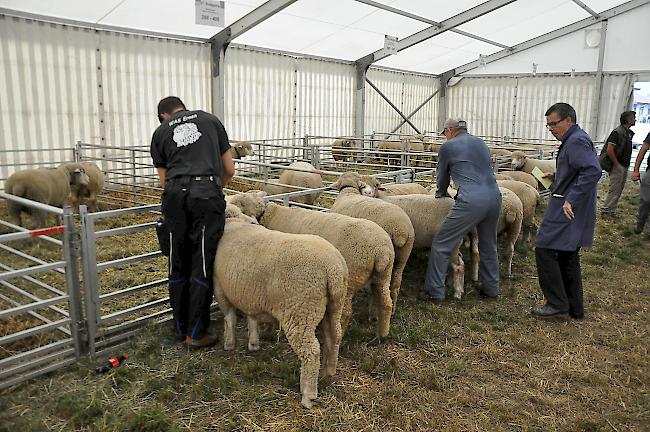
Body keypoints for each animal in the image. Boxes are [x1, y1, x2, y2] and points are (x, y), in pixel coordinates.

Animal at [213, 213, 346, 408]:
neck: (234, 224)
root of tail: (332, 268)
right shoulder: (249, 293)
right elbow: (251, 317)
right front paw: (253, 343)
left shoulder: (220, 288)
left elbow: (229, 317)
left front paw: (229, 344)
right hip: (335, 305)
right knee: (334, 335)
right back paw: (328, 372)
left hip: (299, 312)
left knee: (311, 351)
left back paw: (308, 395)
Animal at [330, 170, 416, 312]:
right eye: (362, 185)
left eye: (375, 185)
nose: (367, 192)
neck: (348, 192)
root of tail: (400, 231)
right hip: (403, 255)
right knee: (396, 282)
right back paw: (393, 308)